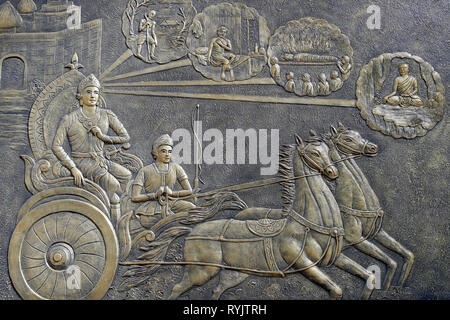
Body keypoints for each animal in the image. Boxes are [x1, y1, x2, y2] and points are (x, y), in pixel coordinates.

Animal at [169, 133, 376, 300]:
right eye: (314, 153)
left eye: (327, 150)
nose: (333, 172)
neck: (308, 225)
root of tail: (193, 231)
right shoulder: (303, 263)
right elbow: (336, 290)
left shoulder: (335, 257)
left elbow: (370, 276)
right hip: (201, 271)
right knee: (177, 289)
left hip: (235, 273)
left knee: (217, 291)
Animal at [324, 122, 414, 288]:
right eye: (347, 139)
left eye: (358, 134)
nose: (373, 147)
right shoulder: (356, 240)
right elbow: (390, 261)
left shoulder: (377, 233)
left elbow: (406, 255)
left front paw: (397, 286)